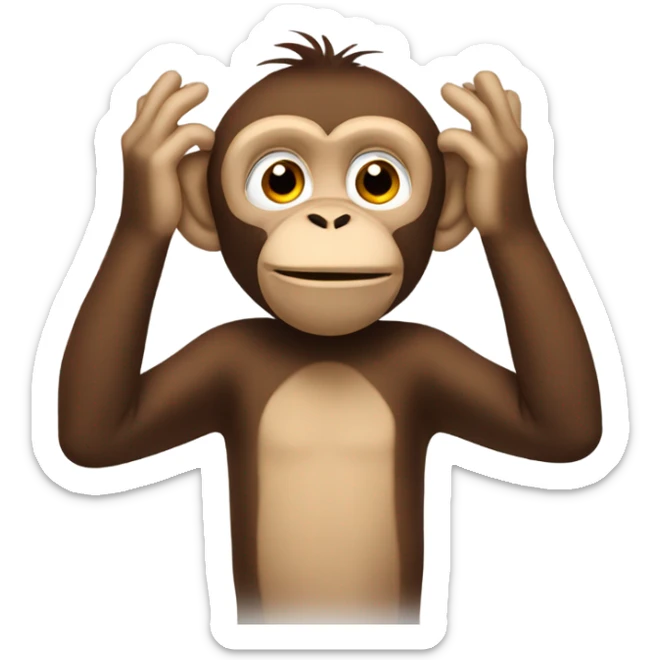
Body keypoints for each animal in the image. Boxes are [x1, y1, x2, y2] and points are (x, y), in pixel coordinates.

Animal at [58, 34, 602, 625]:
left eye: (377, 181)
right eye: (281, 180)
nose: (330, 219)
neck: (325, 351)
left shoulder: (425, 354)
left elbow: (559, 427)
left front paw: (499, 176)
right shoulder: (226, 350)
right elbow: (99, 433)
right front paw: (148, 179)